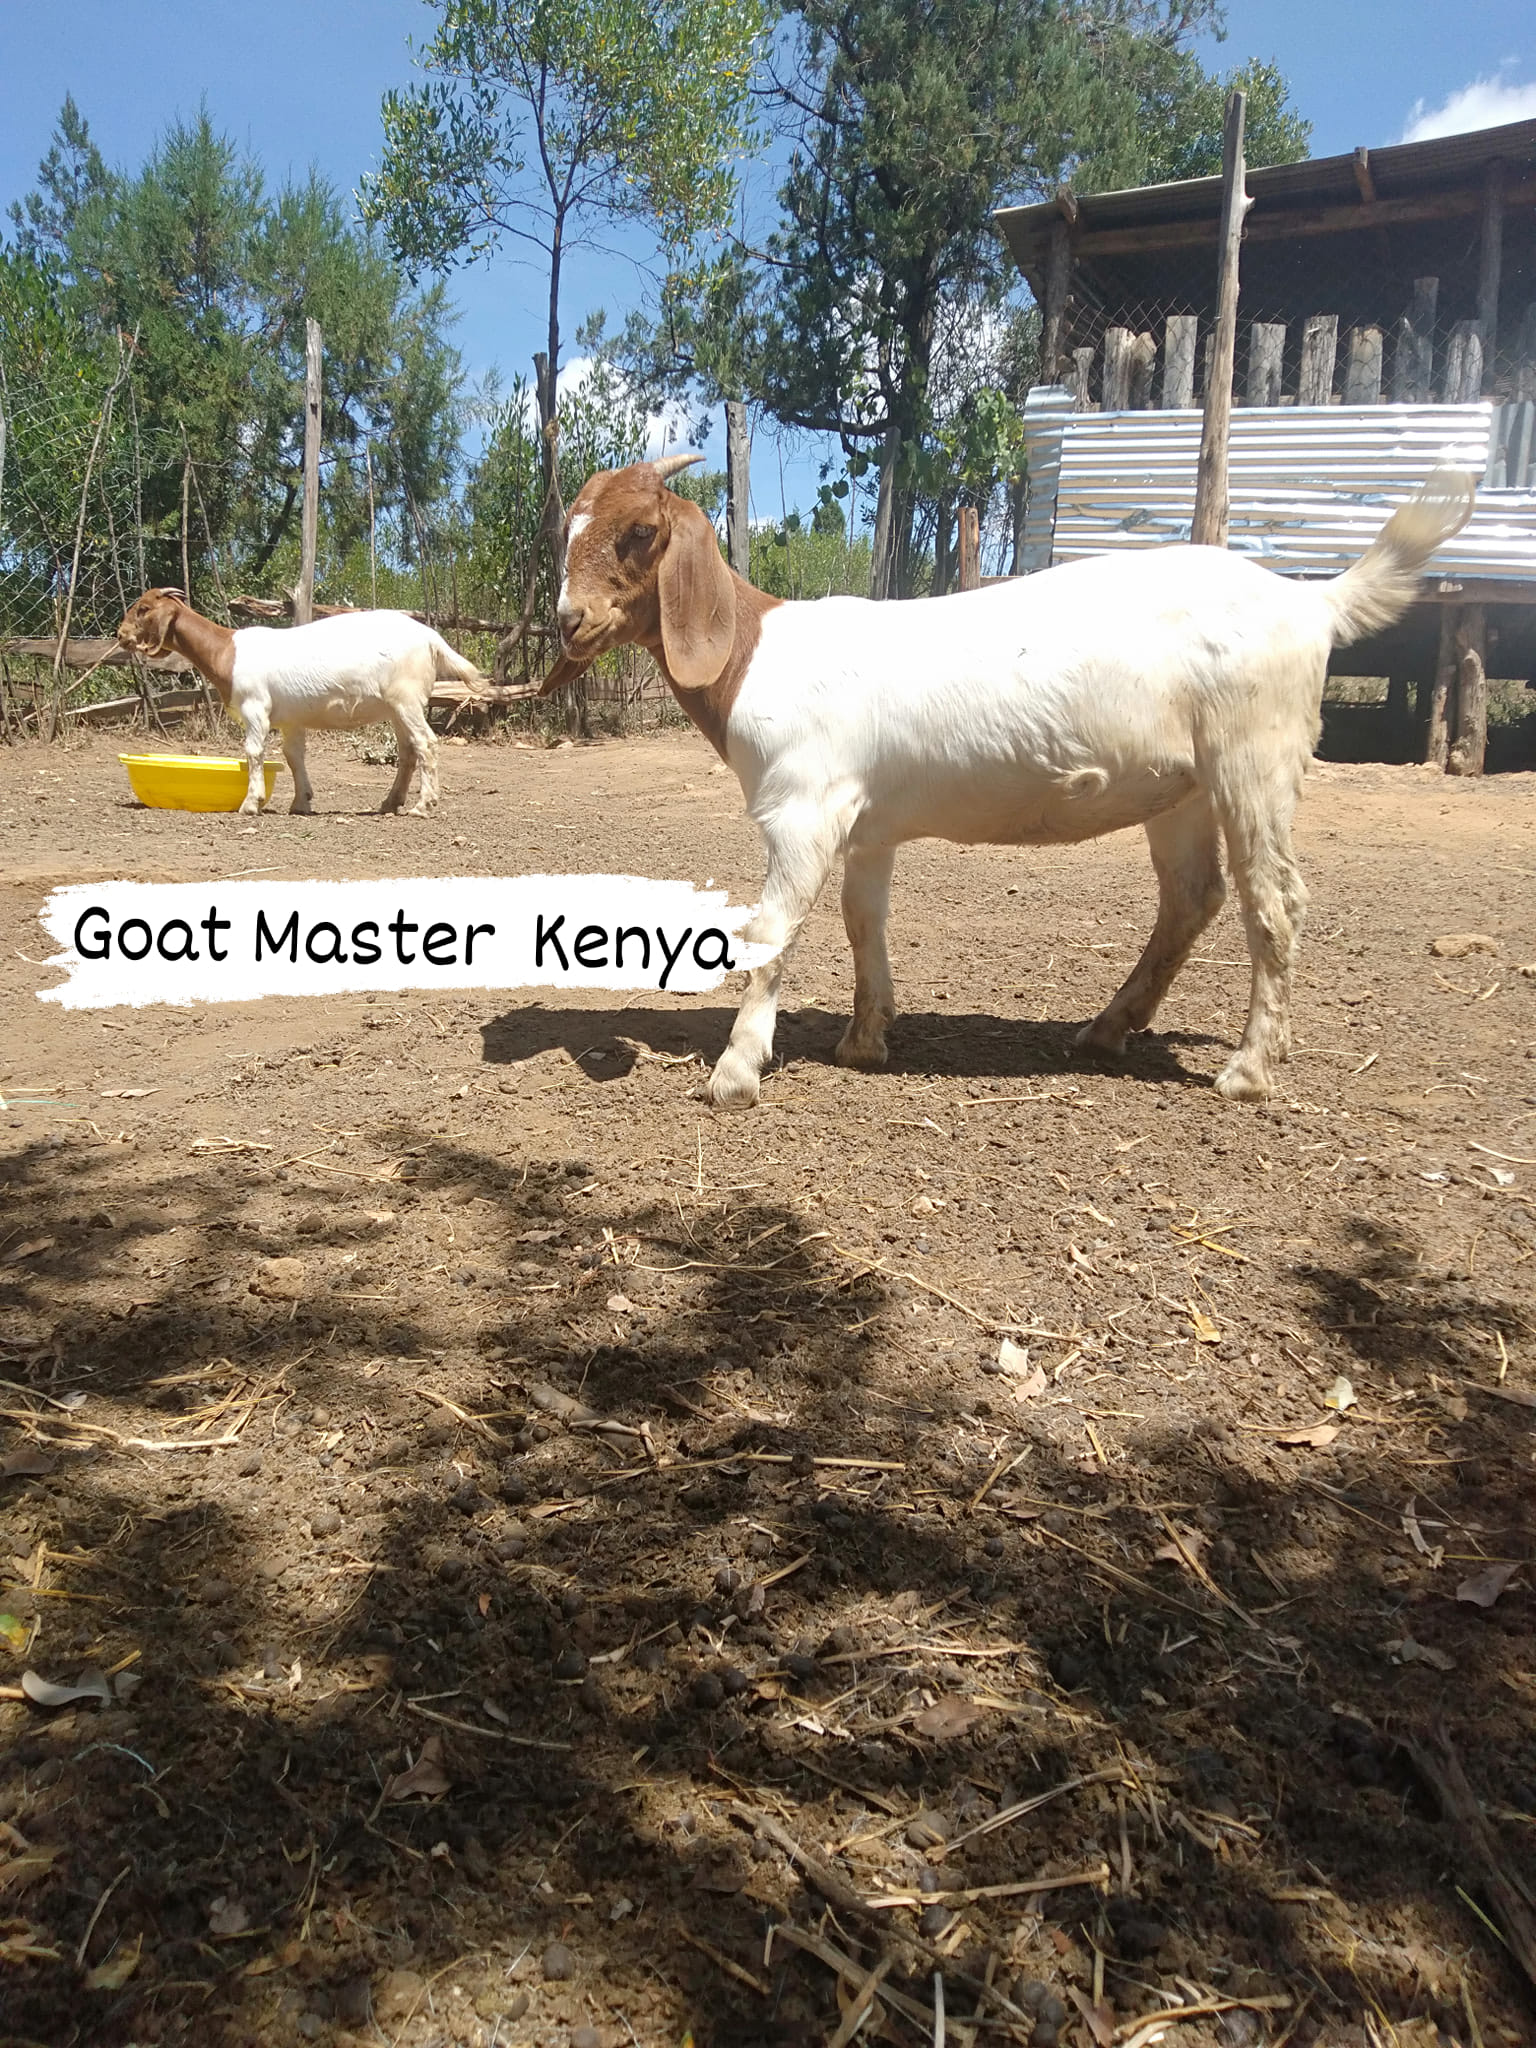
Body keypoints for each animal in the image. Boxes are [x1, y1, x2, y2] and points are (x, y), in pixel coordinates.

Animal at [115, 590, 486, 817]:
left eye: (143, 609)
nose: (120, 635)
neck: (226, 651)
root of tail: (431, 638)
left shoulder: (255, 708)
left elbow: (253, 752)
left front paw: (250, 803)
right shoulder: (291, 719)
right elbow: (294, 756)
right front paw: (300, 802)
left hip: (406, 698)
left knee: (426, 743)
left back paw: (423, 805)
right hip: (397, 706)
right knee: (408, 751)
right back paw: (389, 802)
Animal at [543, 455, 1476, 1109]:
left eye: (638, 531)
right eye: (567, 530)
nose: (568, 621)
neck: (754, 652)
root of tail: (1312, 605)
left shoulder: (803, 806)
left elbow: (773, 928)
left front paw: (736, 1071)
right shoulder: (868, 824)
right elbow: (861, 919)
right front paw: (865, 1039)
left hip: (1255, 751)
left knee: (1274, 900)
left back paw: (1248, 1069)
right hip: (1185, 786)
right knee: (1193, 895)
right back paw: (1107, 1028)